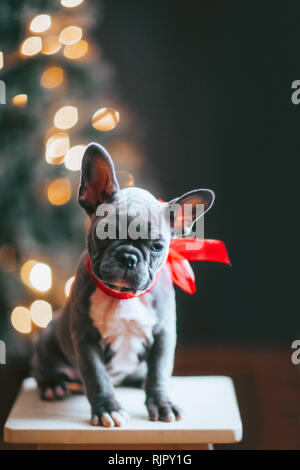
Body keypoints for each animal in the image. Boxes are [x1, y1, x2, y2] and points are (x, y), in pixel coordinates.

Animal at [32, 142, 213, 426]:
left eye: (157, 246)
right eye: (104, 233)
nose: (128, 256)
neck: (123, 295)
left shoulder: (162, 336)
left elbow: (158, 373)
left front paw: (162, 404)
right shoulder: (86, 340)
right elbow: (97, 377)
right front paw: (107, 408)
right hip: (48, 340)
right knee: (42, 368)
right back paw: (52, 385)